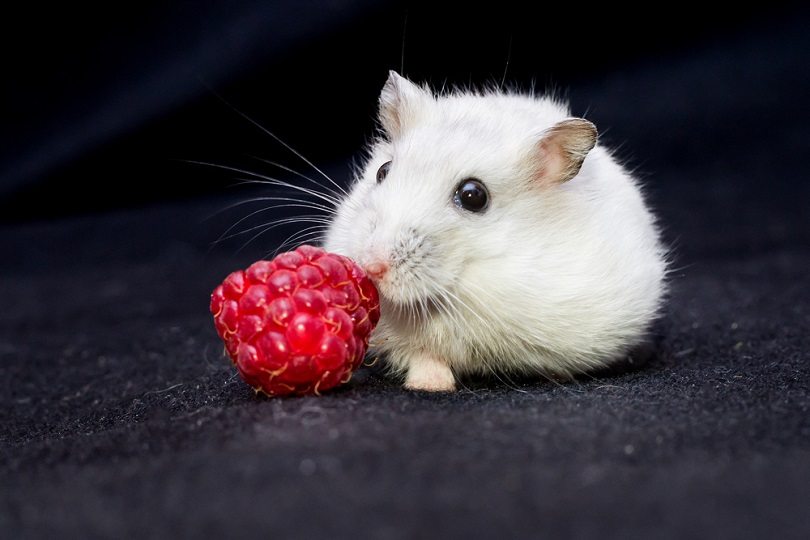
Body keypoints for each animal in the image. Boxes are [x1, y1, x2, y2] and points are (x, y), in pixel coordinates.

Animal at [325, 71, 667, 392]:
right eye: (383, 172)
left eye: (473, 196)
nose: (372, 266)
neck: (466, 286)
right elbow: (425, 357)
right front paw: (429, 385)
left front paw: (559, 375)